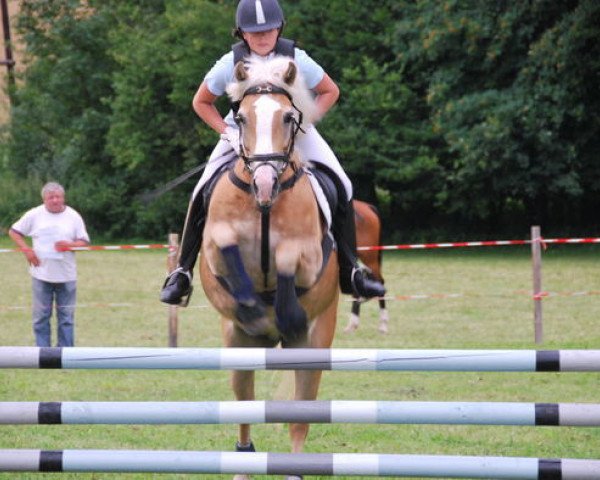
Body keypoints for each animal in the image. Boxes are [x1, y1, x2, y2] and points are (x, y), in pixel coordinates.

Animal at [197, 57, 338, 480]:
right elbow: (226, 249)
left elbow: (290, 259)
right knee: (244, 407)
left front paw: (285, 312)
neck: (263, 205)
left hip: (312, 349)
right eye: (240, 118)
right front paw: (250, 305)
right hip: (238, 347)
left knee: (299, 419)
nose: (263, 181)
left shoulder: (310, 256)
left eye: (289, 118)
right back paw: (243, 463)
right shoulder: (214, 246)